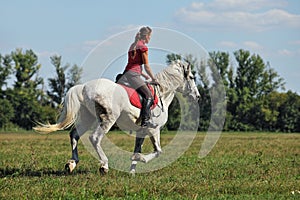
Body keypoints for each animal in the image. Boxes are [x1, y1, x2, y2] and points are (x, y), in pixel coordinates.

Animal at [33, 60, 199, 174]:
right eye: (191, 77)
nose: (197, 96)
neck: (162, 94)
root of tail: (84, 87)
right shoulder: (154, 129)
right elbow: (158, 151)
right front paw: (139, 159)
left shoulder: (141, 131)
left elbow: (138, 148)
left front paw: (132, 171)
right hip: (108, 119)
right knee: (94, 138)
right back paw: (104, 165)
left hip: (87, 118)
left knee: (74, 135)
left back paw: (72, 163)